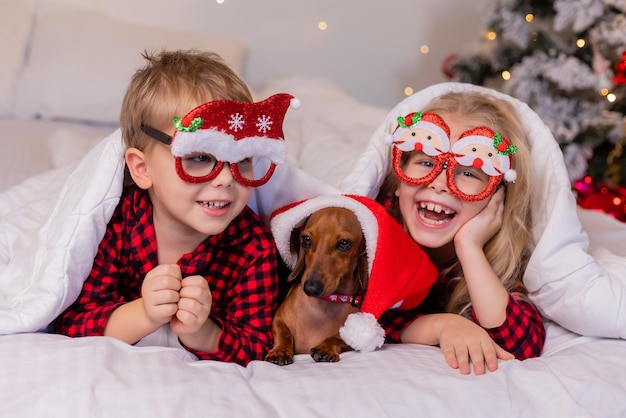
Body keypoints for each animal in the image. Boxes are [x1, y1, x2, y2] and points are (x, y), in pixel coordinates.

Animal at [264, 207, 370, 364]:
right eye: (306, 239)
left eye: (344, 243)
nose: (311, 288)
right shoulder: (278, 319)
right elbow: (284, 333)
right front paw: (280, 350)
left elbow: (337, 338)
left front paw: (325, 347)